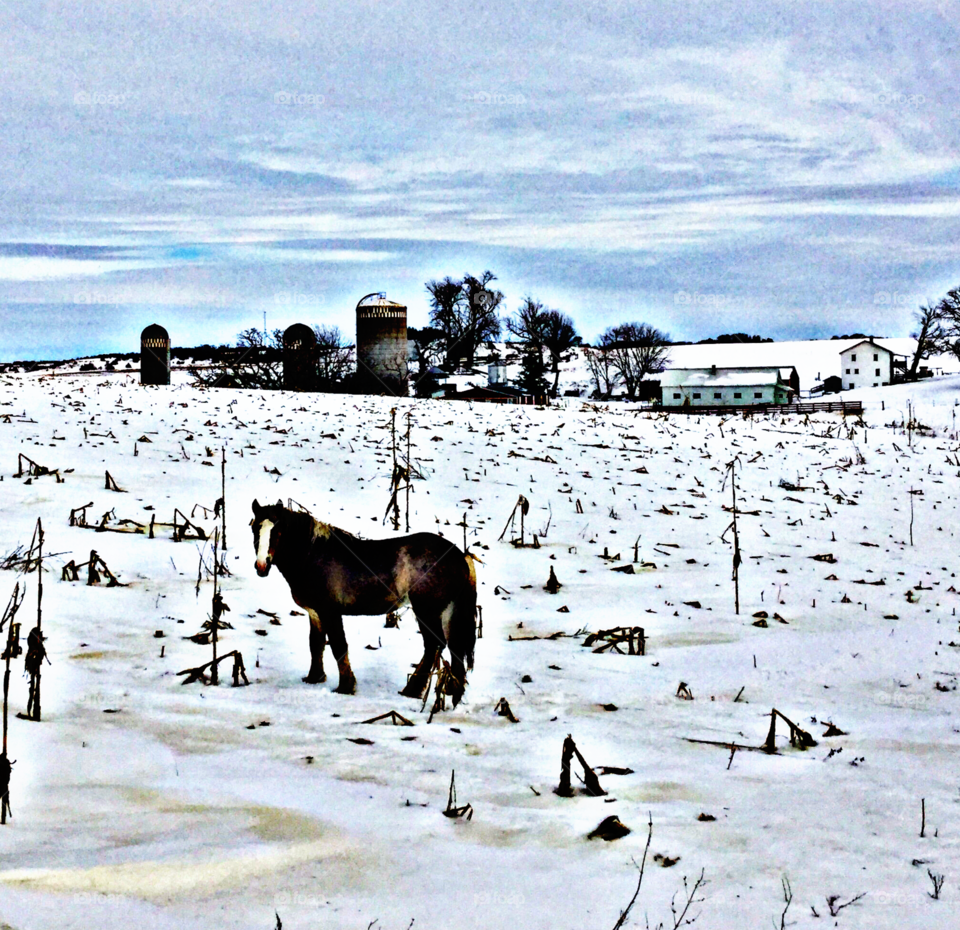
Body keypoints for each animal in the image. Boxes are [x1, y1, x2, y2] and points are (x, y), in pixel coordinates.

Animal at [251, 500, 476, 704]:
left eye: (278, 531)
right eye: (254, 528)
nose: (262, 565)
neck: (312, 554)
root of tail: (460, 556)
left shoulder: (330, 612)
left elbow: (338, 646)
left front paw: (346, 686)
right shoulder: (315, 613)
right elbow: (316, 644)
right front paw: (314, 678)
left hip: (426, 610)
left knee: (433, 645)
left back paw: (412, 690)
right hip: (447, 611)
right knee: (455, 646)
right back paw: (453, 691)